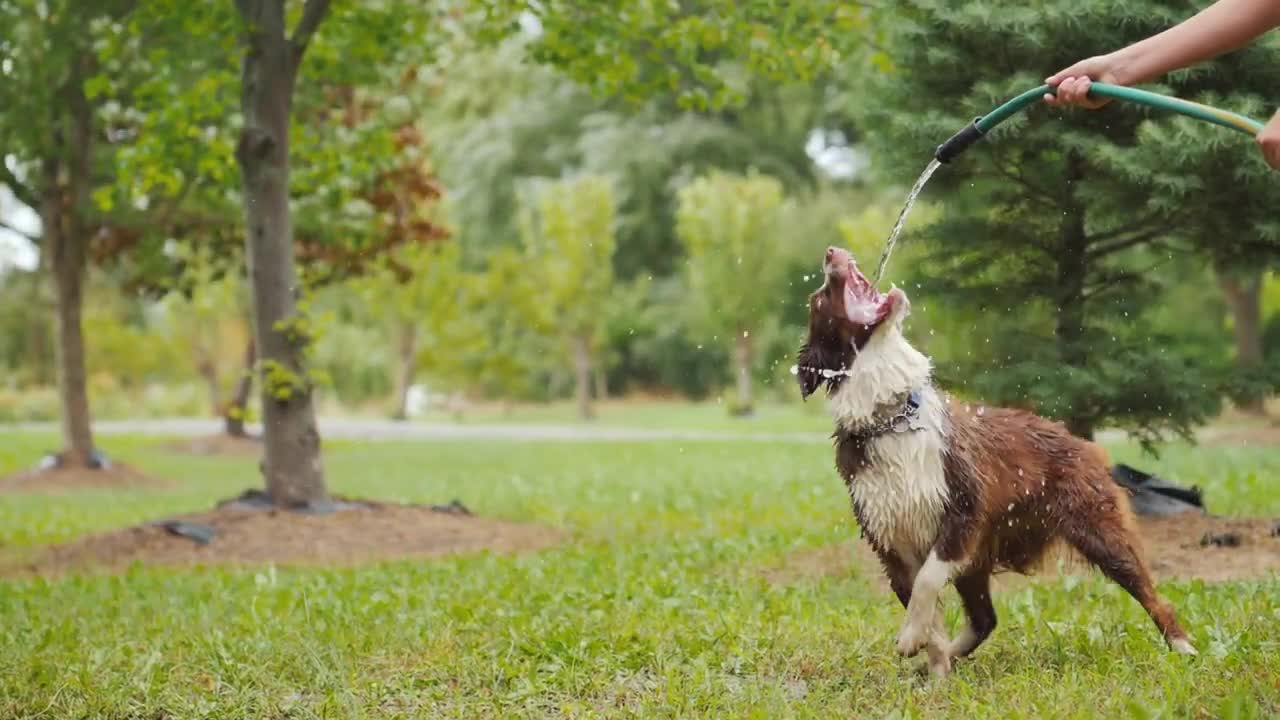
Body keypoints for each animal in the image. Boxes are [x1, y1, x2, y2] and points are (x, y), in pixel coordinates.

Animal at [793, 244, 1192, 671]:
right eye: (820, 300)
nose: (831, 251)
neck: (892, 416)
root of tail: (1080, 441)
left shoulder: (964, 513)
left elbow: (927, 581)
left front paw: (912, 639)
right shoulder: (890, 539)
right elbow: (925, 606)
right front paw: (934, 666)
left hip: (1100, 529)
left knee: (1153, 595)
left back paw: (1184, 646)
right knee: (985, 619)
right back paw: (946, 661)